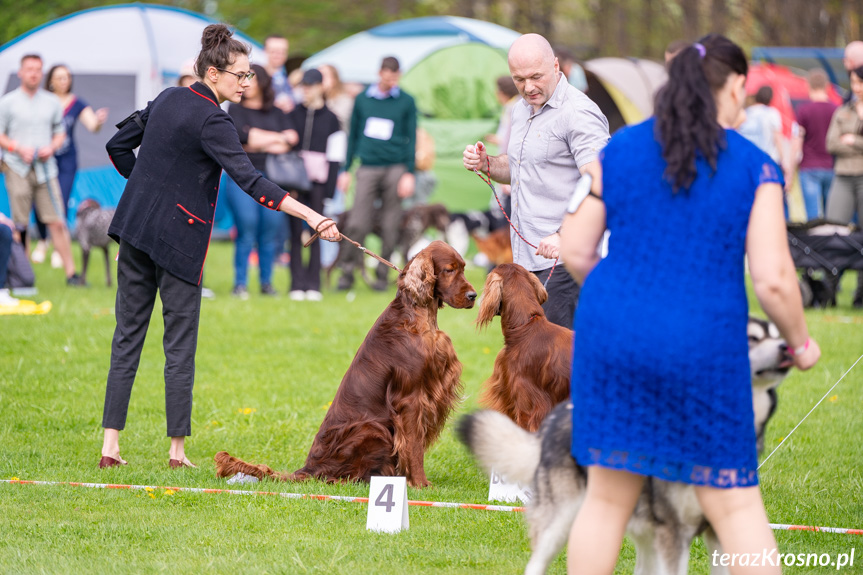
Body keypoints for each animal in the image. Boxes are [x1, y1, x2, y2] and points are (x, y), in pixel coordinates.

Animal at [213, 241, 476, 488]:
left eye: (464, 268)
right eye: (449, 269)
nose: (473, 296)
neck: (416, 315)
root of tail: (308, 469)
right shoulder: (410, 399)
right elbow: (413, 446)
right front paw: (420, 483)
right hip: (373, 428)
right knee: (341, 477)